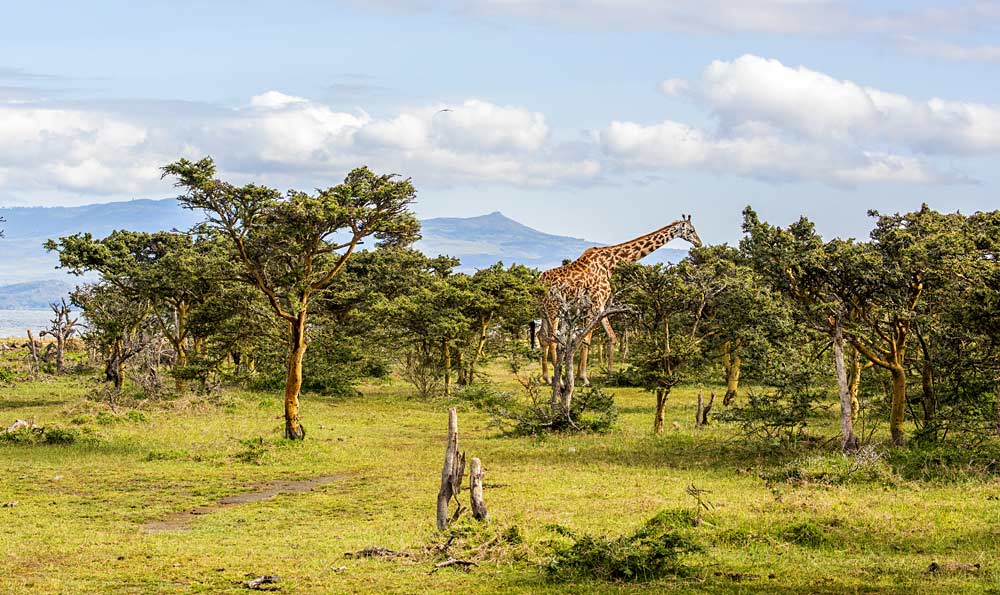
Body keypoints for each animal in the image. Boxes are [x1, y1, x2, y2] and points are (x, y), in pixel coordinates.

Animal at [540, 217, 704, 384]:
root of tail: (539, 281)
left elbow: (611, 337)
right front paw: (584, 377)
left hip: (545, 310)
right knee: (552, 338)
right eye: (691, 230)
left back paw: (546, 377)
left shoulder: (599, 306)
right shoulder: (596, 303)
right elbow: (587, 338)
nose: (699, 243)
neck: (611, 263)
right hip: (554, 308)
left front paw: (609, 374)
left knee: (542, 336)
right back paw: (558, 380)